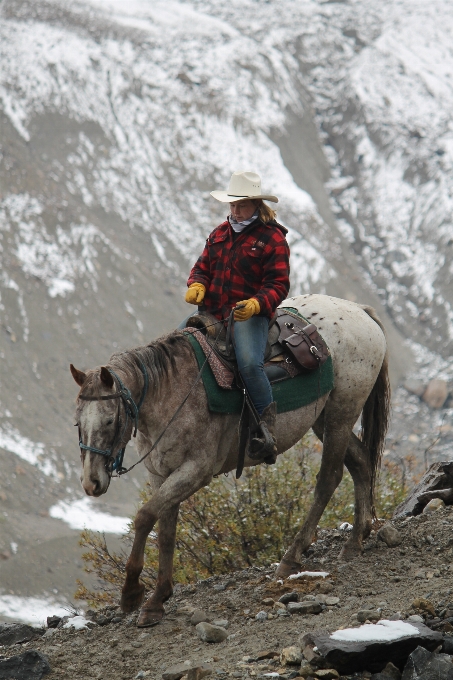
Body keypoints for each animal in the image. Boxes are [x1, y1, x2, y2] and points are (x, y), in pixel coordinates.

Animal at [69, 292, 388, 628]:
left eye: (108, 421)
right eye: (77, 422)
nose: (91, 483)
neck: (170, 391)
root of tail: (359, 310)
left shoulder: (195, 471)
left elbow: (145, 517)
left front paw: (131, 593)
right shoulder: (162, 474)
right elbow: (166, 529)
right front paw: (157, 600)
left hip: (341, 413)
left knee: (329, 478)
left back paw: (292, 558)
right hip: (324, 418)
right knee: (361, 462)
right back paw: (356, 539)